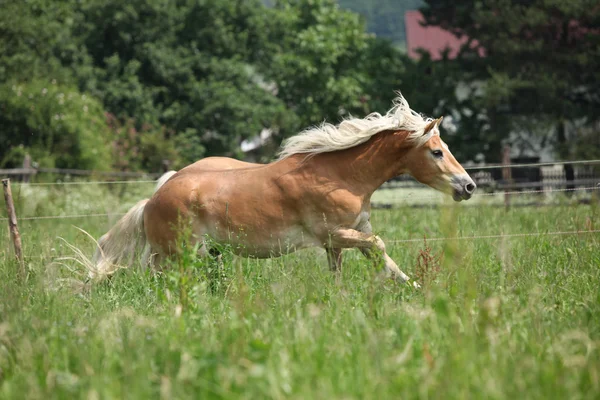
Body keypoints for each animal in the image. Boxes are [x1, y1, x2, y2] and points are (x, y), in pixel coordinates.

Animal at [90, 95, 474, 286]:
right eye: (436, 152)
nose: (468, 185)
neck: (340, 175)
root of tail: (152, 200)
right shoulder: (335, 233)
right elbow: (379, 247)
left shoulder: (343, 238)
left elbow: (369, 262)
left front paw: (413, 291)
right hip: (176, 255)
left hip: (202, 253)